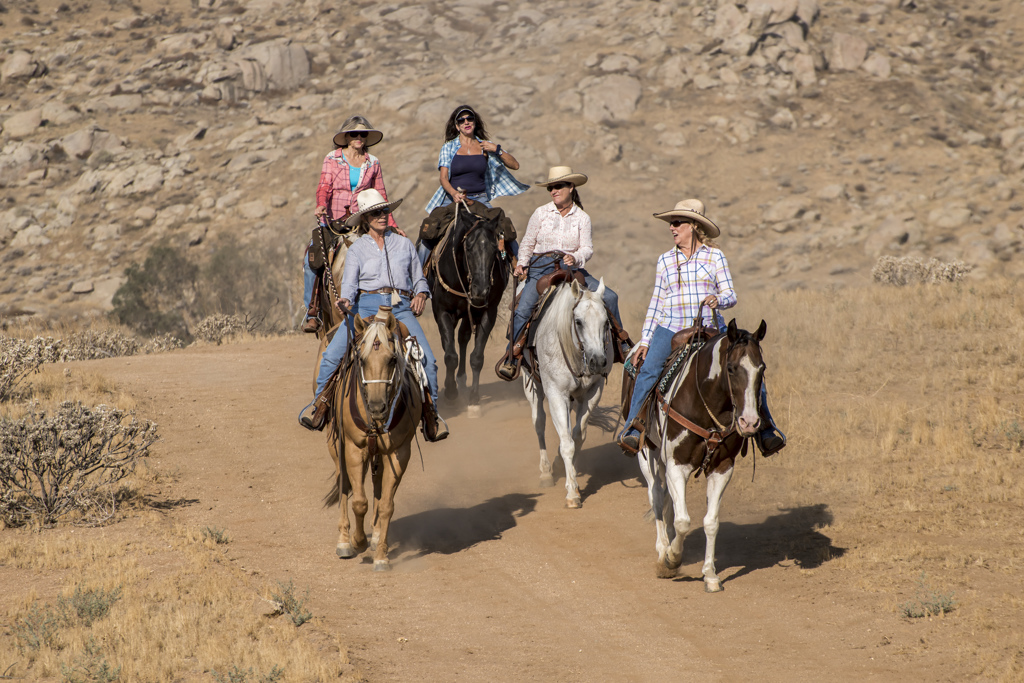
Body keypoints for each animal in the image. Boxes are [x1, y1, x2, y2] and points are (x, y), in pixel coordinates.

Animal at [323, 307, 423, 572]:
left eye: (392, 359)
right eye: (362, 359)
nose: (377, 407)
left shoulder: (399, 452)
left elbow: (387, 505)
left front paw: (381, 556)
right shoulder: (354, 449)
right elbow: (359, 501)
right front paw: (357, 542)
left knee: (377, 486)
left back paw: (376, 535)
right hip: (337, 446)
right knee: (344, 484)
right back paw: (344, 541)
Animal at [429, 203, 511, 414]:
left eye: (495, 248)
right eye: (468, 247)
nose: (481, 290)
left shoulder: (488, 312)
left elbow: (477, 357)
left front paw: (474, 400)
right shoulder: (442, 311)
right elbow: (450, 355)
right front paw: (450, 394)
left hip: (469, 313)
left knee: (463, 338)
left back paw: (462, 380)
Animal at [523, 278, 613, 508]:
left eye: (606, 322)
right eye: (578, 322)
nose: (598, 361)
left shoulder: (592, 393)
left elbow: (577, 437)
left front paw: (573, 478)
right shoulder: (556, 394)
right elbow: (566, 443)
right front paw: (572, 493)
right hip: (531, 385)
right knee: (539, 422)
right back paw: (546, 472)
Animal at [635, 319, 768, 592]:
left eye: (762, 368)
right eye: (731, 368)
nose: (749, 422)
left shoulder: (722, 468)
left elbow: (711, 521)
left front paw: (710, 575)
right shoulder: (676, 465)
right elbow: (683, 521)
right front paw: (672, 559)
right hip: (648, 457)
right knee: (656, 497)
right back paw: (662, 549)